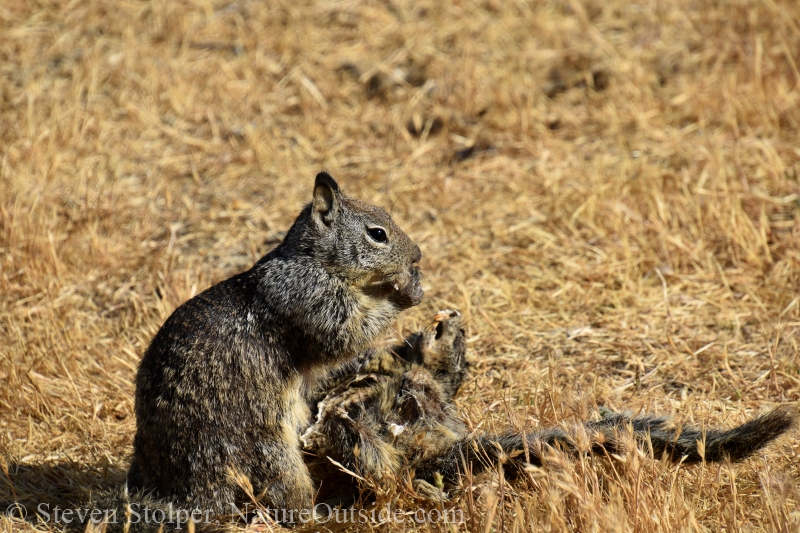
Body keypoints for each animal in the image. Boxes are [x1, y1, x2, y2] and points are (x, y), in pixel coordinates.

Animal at [128, 172, 422, 512]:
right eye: (377, 234)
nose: (417, 255)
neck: (313, 261)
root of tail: (184, 491)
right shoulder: (312, 303)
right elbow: (348, 333)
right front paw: (405, 291)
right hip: (271, 454)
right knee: (289, 501)